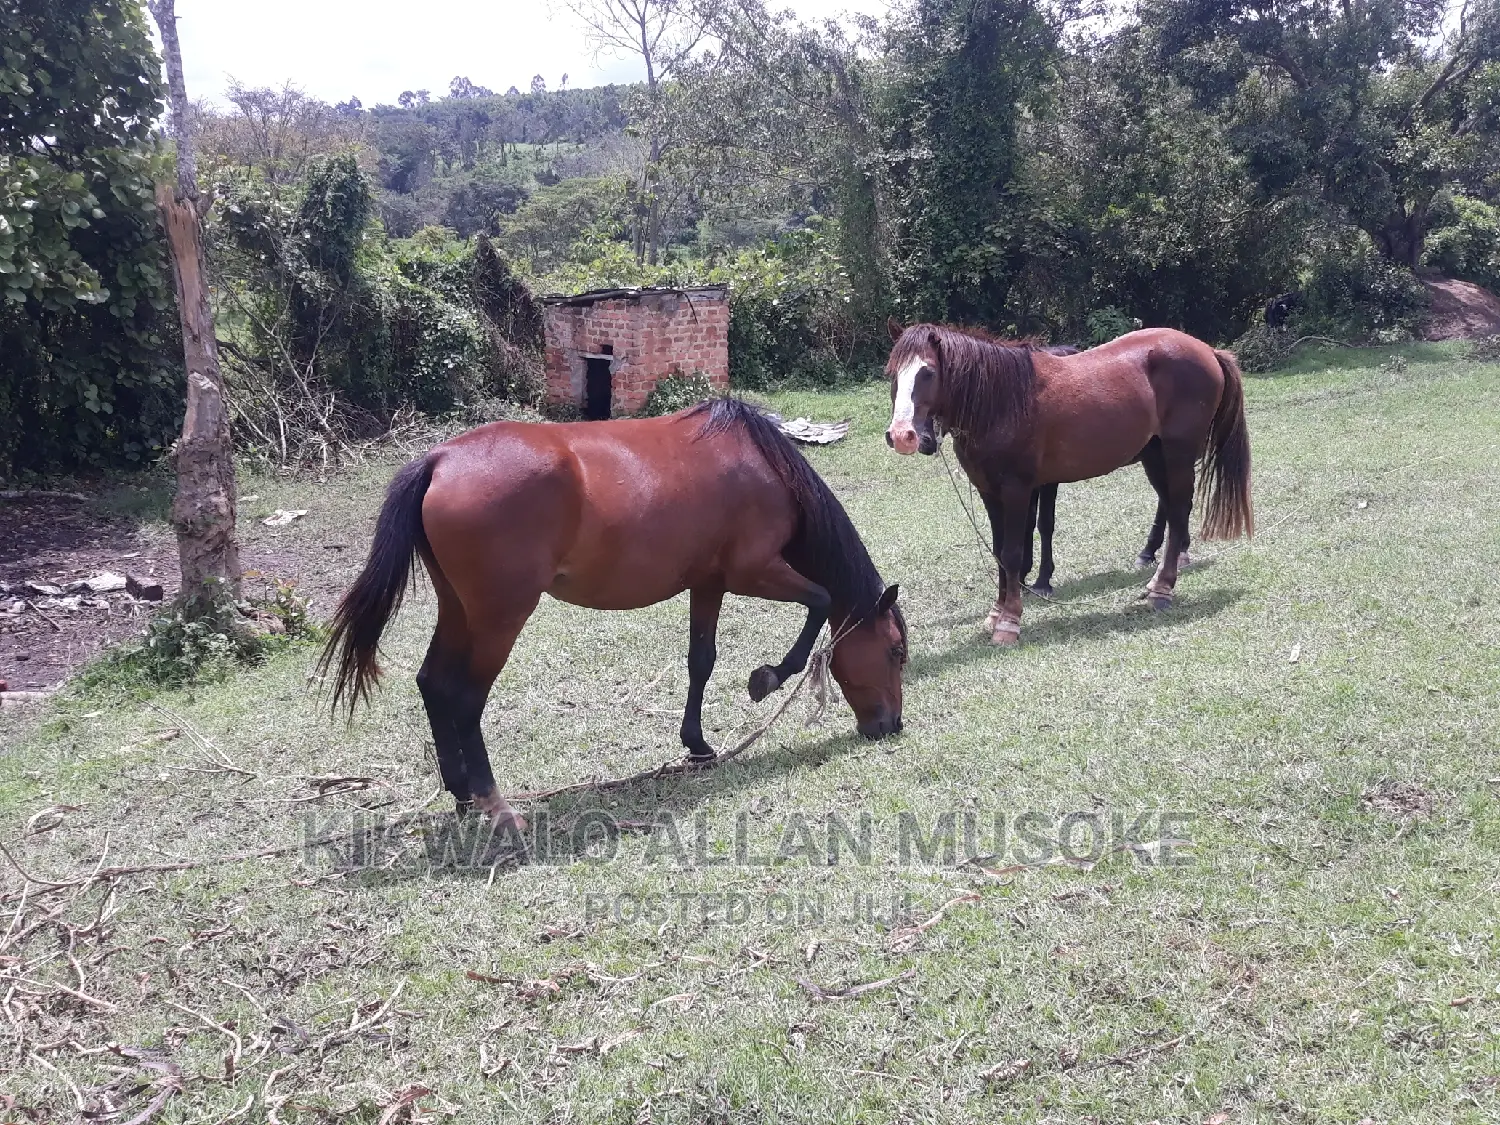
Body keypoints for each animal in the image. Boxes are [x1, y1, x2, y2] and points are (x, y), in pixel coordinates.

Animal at [320, 397, 907, 830]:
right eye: (896, 652)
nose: (891, 726)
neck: (765, 468)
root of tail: (438, 459)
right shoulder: (754, 571)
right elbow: (821, 602)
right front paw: (767, 678)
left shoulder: (708, 583)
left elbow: (701, 660)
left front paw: (697, 745)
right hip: (499, 617)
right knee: (465, 698)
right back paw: (496, 805)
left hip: (458, 609)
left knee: (433, 683)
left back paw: (462, 794)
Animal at [884, 324, 1252, 645]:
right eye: (892, 373)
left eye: (928, 372)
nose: (903, 435)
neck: (1003, 402)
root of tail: (1207, 350)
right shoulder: (990, 493)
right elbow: (1000, 553)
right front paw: (996, 612)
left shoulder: (1017, 490)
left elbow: (1013, 552)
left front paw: (1009, 621)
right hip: (1155, 456)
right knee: (1172, 508)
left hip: (1179, 453)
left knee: (1177, 510)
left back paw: (1162, 589)